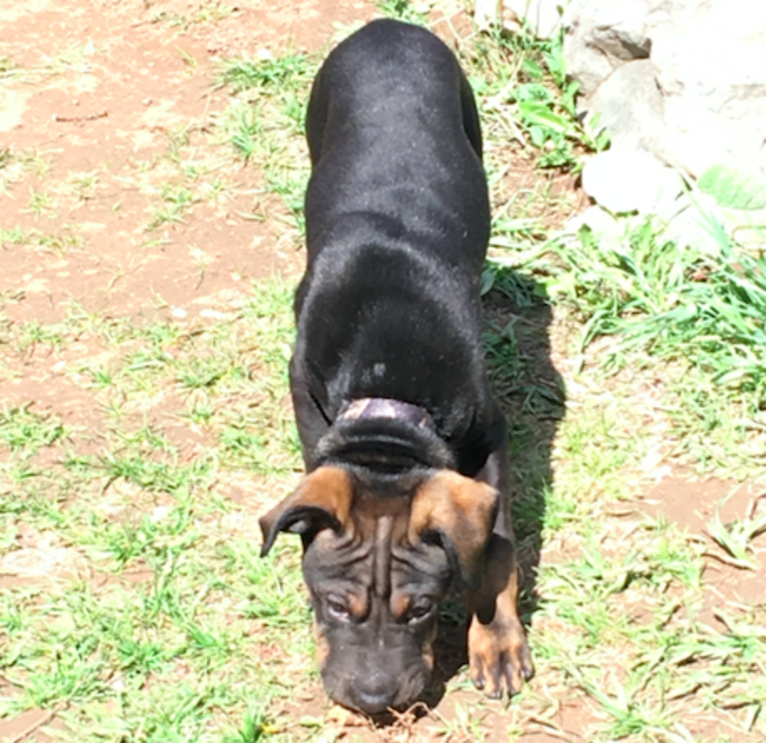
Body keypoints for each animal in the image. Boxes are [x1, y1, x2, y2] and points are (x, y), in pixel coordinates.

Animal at [258, 17, 536, 716]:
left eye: (423, 609)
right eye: (333, 605)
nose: (374, 699)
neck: (387, 386)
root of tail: (389, 25)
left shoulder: (490, 436)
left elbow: (495, 551)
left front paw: (496, 642)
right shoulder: (307, 401)